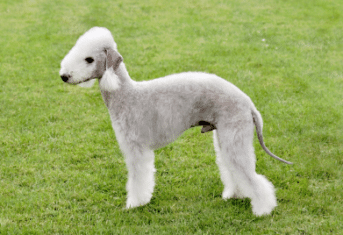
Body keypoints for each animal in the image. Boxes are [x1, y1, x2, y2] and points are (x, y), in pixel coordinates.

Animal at [59, 26, 292, 216]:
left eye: (89, 59)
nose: (64, 76)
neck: (125, 93)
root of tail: (249, 103)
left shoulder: (136, 148)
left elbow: (138, 179)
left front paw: (135, 204)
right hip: (225, 137)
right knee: (234, 169)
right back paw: (235, 195)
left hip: (234, 134)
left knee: (251, 175)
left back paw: (263, 209)